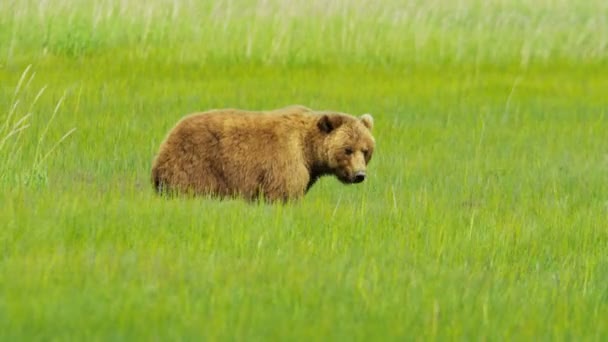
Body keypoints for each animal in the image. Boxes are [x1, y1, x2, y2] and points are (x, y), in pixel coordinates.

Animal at [151, 104, 376, 200]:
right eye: (347, 149)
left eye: (365, 151)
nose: (359, 175)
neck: (309, 151)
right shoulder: (286, 161)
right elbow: (283, 193)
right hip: (197, 164)